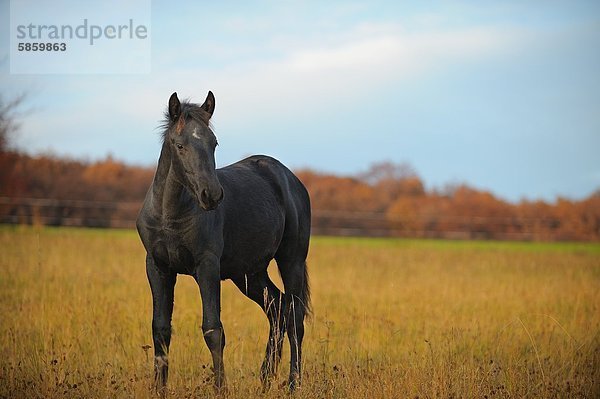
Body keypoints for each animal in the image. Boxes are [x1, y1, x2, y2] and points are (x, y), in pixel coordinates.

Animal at [137, 91, 312, 394]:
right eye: (179, 145)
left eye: (214, 143)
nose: (212, 195)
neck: (171, 216)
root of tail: (291, 180)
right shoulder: (158, 267)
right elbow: (160, 329)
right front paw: (159, 390)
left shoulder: (207, 267)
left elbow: (213, 329)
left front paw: (221, 389)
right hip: (249, 273)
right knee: (277, 310)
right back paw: (265, 380)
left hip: (292, 261)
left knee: (295, 316)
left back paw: (293, 384)